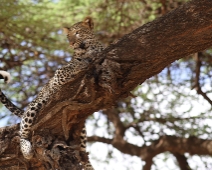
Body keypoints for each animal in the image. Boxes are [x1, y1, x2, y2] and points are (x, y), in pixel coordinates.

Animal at [0, 16, 104, 170]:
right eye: (68, 36)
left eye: (78, 33)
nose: (71, 43)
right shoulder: (59, 75)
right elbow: (73, 66)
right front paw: (83, 62)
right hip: (34, 107)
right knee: (23, 130)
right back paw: (27, 150)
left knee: (83, 154)